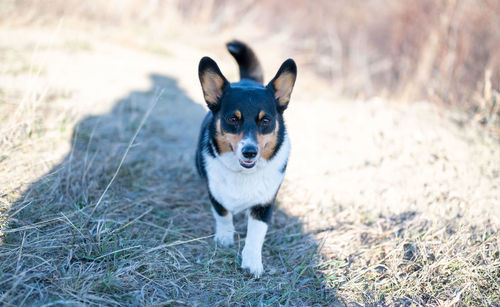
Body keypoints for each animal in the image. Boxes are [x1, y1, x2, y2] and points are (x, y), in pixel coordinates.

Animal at [195, 39, 296, 278]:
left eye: (266, 121)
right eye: (233, 119)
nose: (249, 152)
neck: (244, 173)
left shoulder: (264, 204)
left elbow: (256, 234)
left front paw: (252, 262)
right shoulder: (215, 194)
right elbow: (223, 215)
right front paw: (224, 238)